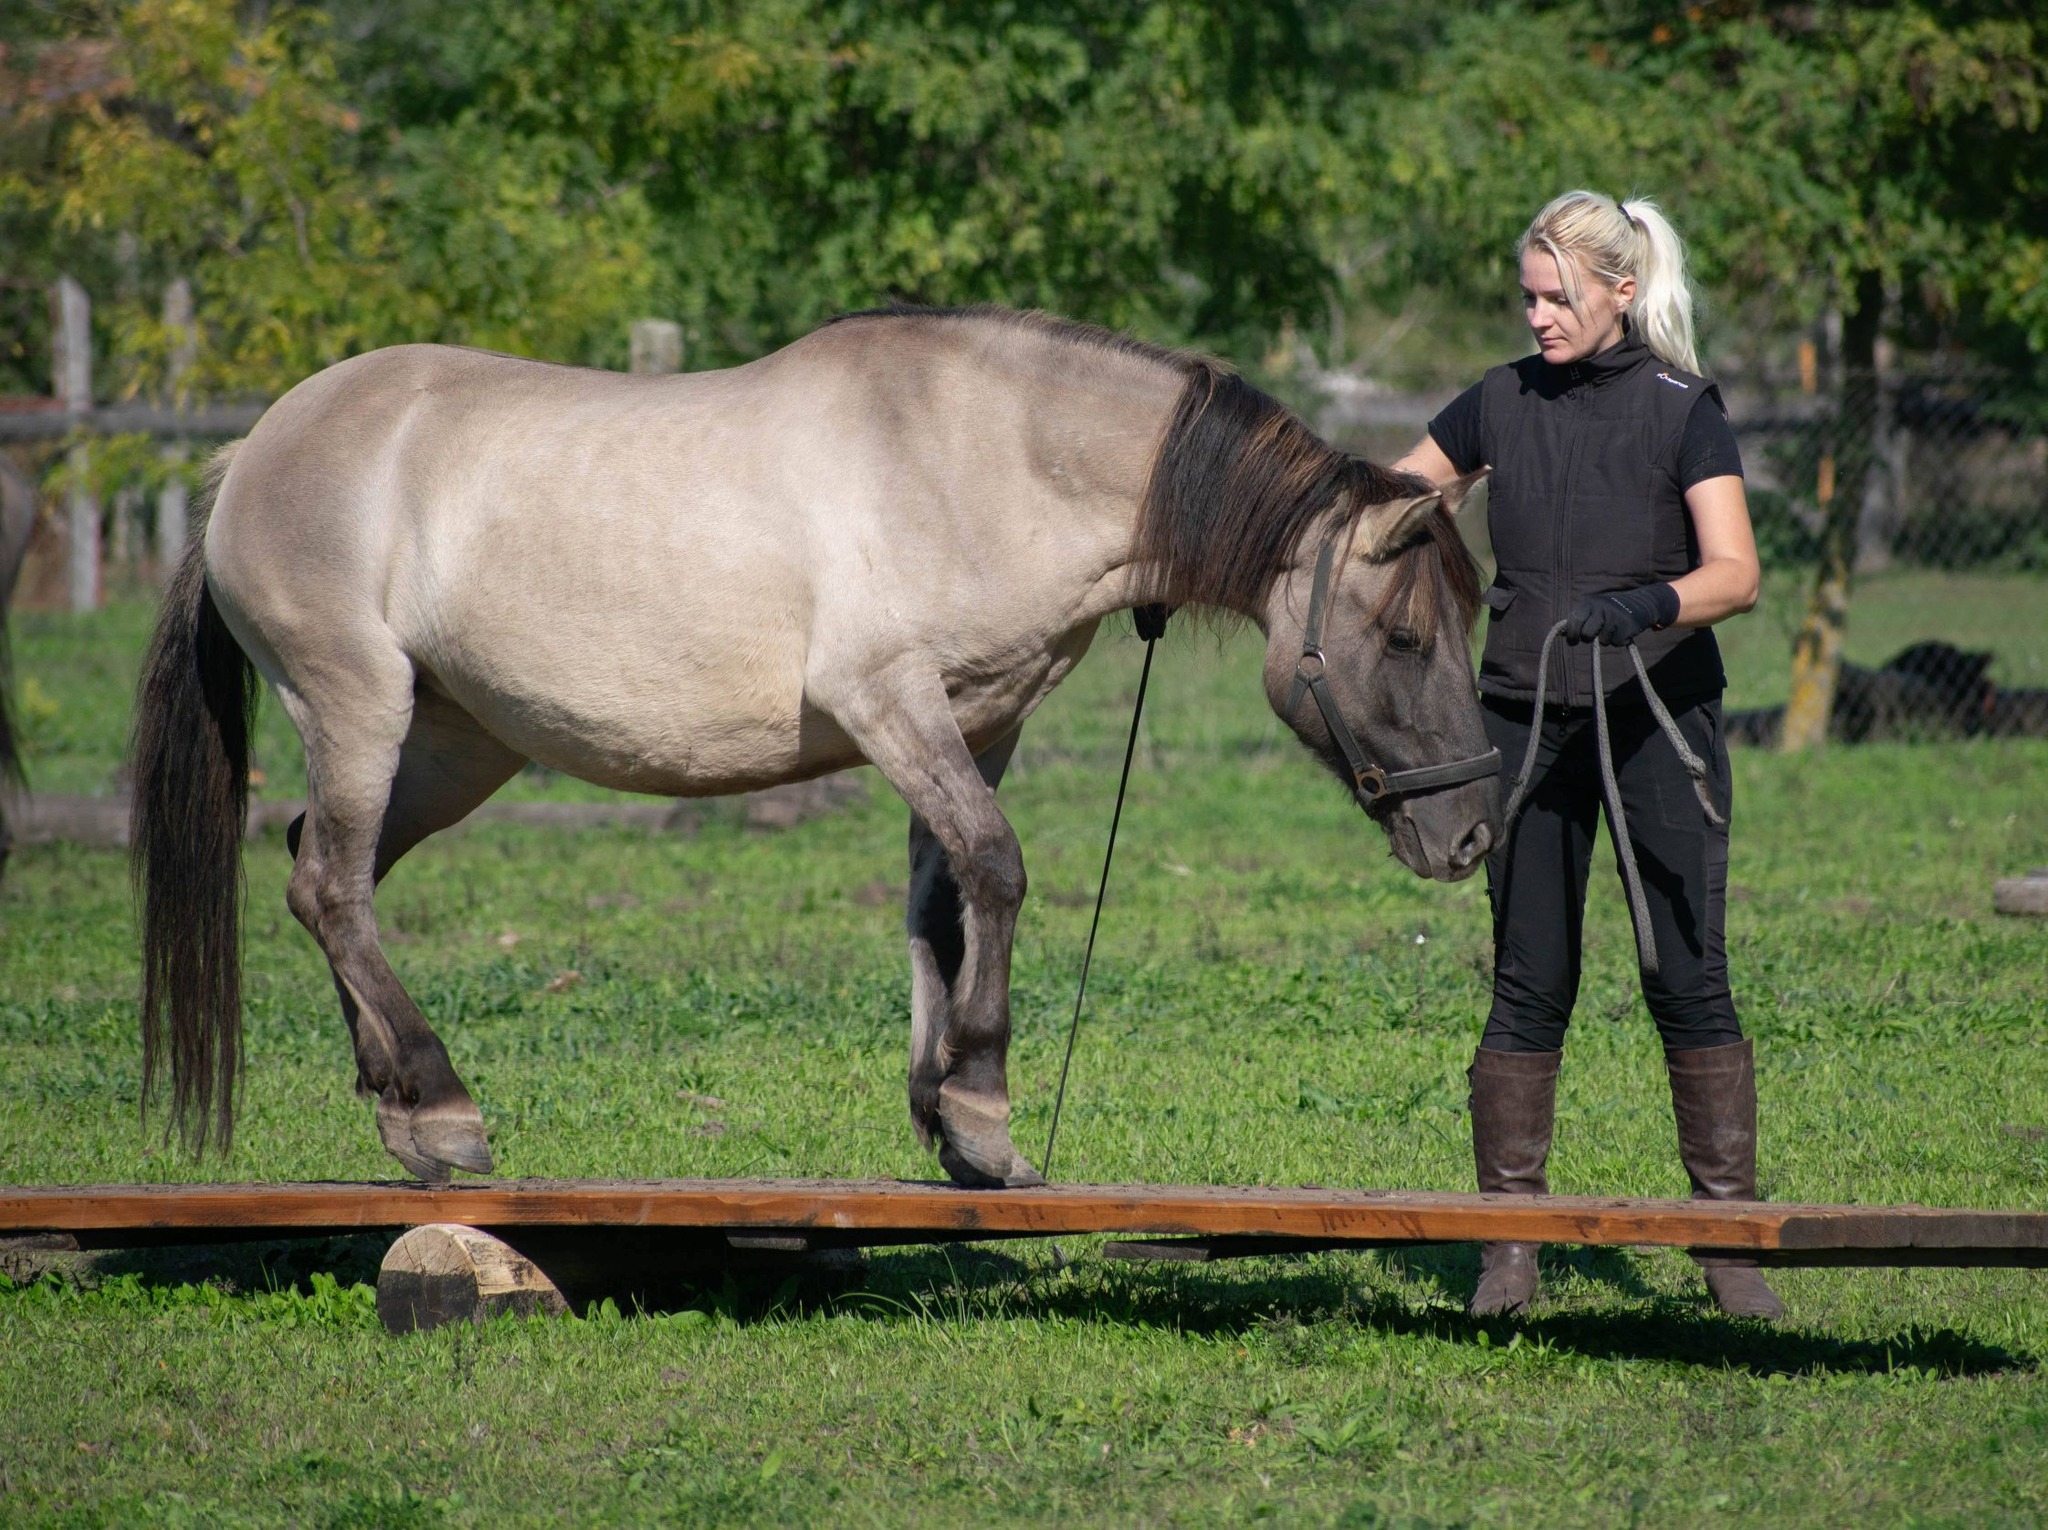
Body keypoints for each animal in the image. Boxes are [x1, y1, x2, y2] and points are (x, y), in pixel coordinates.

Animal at [136, 307, 1499, 1187]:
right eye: (1404, 633)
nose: (1470, 833)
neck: (978, 456)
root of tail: (249, 452)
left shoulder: (979, 720)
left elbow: (942, 902)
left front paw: (944, 1112)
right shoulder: (885, 699)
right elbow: (996, 870)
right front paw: (983, 1108)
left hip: (455, 747)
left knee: (330, 878)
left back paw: (400, 1115)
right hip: (357, 705)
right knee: (330, 885)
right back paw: (446, 1109)